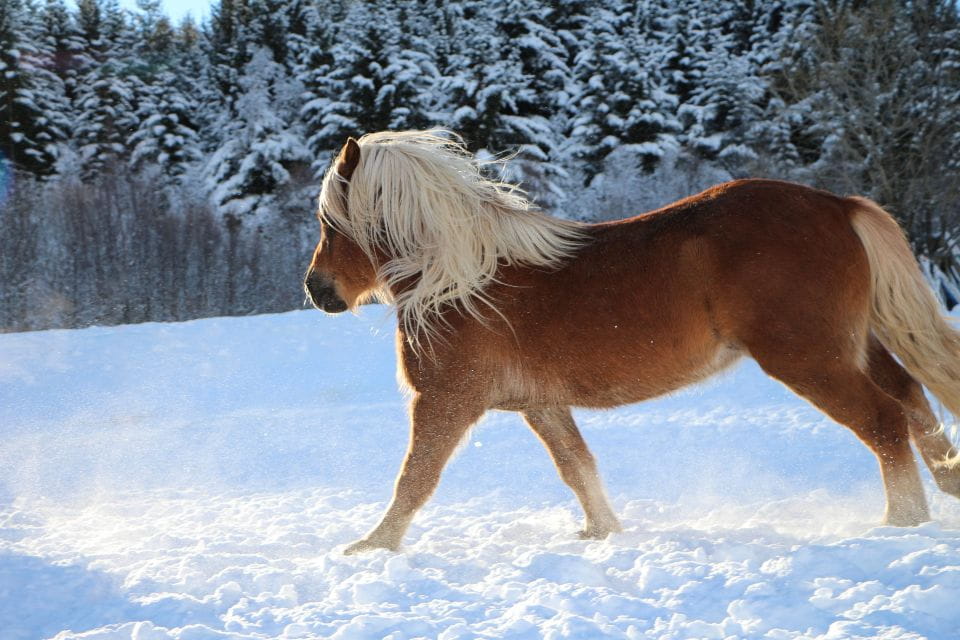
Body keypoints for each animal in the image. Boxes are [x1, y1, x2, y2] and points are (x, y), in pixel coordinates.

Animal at [304, 129, 960, 554]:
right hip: (855, 346)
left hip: (809, 357)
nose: (317, 289)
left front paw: (371, 546)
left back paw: (901, 522)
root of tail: (838, 205)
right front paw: (602, 534)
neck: (462, 282)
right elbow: (578, 469)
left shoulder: (446, 402)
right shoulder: (541, 404)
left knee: (883, 419)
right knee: (912, 400)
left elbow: (415, 479)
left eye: (331, 224)